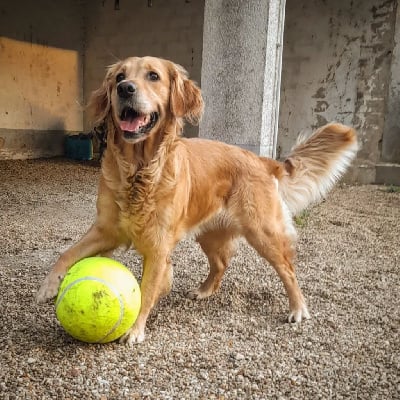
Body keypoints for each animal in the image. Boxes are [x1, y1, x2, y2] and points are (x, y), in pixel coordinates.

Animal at [36, 55, 358, 344]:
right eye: (118, 77)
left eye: (153, 76)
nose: (125, 89)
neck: (140, 170)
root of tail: (261, 159)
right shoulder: (105, 230)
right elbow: (66, 253)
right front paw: (49, 286)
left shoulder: (158, 246)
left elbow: (147, 290)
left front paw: (136, 329)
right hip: (210, 234)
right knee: (221, 264)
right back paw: (204, 291)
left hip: (262, 232)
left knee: (288, 270)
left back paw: (298, 308)